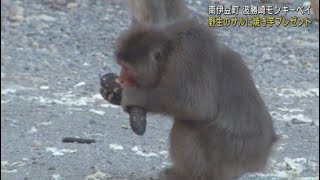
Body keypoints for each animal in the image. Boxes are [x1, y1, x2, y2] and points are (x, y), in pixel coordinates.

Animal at [115, 18, 278, 180]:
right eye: (121, 65)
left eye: (127, 68)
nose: (121, 79)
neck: (169, 51)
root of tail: (259, 161)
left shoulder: (188, 56)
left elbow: (197, 106)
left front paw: (132, 95)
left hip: (229, 153)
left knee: (185, 126)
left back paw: (186, 175)